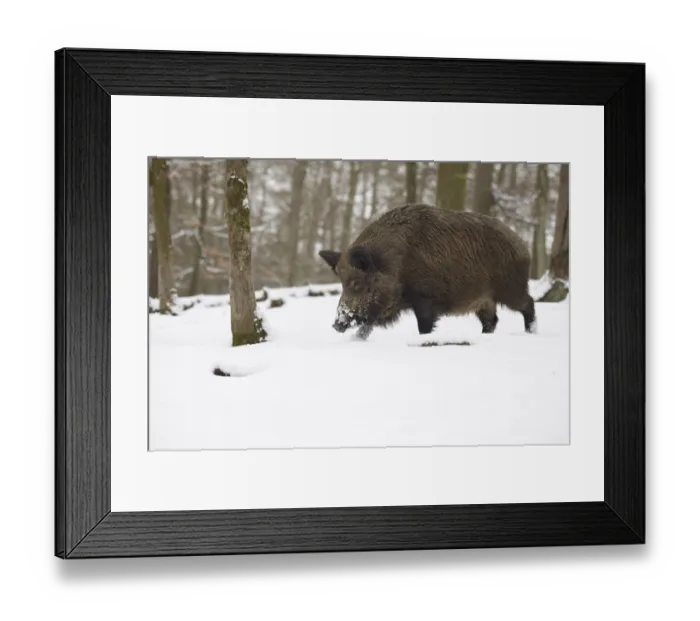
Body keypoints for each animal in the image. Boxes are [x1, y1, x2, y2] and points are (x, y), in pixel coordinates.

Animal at [318, 203, 536, 340]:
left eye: (356, 283)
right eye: (341, 282)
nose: (337, 324)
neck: (395, 263)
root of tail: (523, 246)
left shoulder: (424, 297)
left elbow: (423, 326)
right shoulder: (383, 308)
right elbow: (366, 328)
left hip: (510, 288)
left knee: (528, 303)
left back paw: (531, 333)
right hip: (484, 300)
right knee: (492, 320)